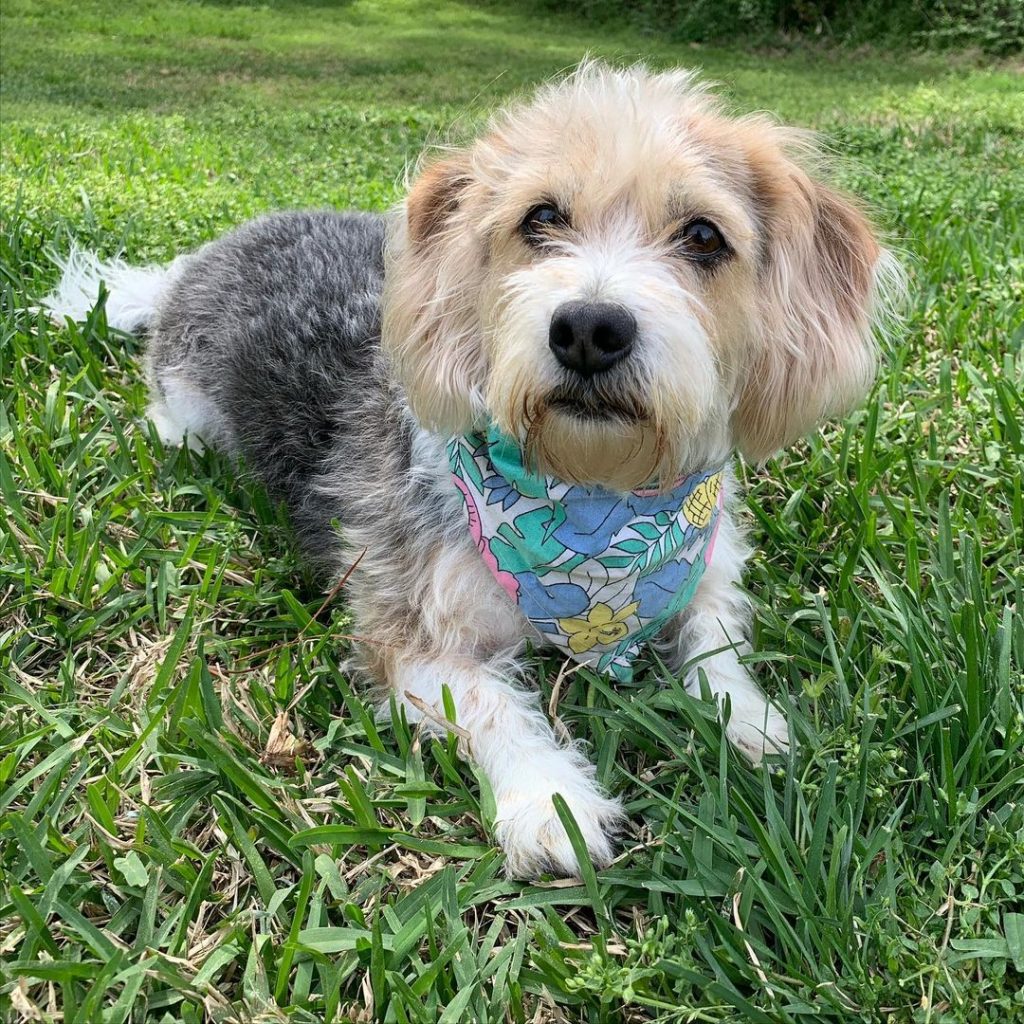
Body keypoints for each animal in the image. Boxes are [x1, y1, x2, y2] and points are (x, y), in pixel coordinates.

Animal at [46, 61, 897, 880]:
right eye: (541, 218)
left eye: (703, 236)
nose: (589, 329)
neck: (591, 500)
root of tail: (201, 258)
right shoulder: (407, 628)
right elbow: (489, 702)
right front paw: (550, 801)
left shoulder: (705, 561)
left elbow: (716, 645)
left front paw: (751, 723)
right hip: (186, 405)